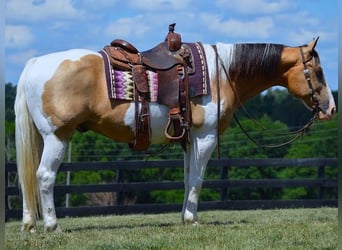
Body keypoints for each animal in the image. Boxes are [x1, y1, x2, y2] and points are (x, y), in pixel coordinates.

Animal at [15, 35, 334, 232]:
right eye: (318, 72)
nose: (330, 108)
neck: (222, 73)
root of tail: (34, 63)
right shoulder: (205, 137)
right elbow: (197, 179)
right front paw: (192, 219)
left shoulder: (188, 140)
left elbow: (186, 178)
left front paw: (184, 216)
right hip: (57, 136)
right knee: (44, 176)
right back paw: (52, 225)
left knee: (28, 176)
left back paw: (30, 224)